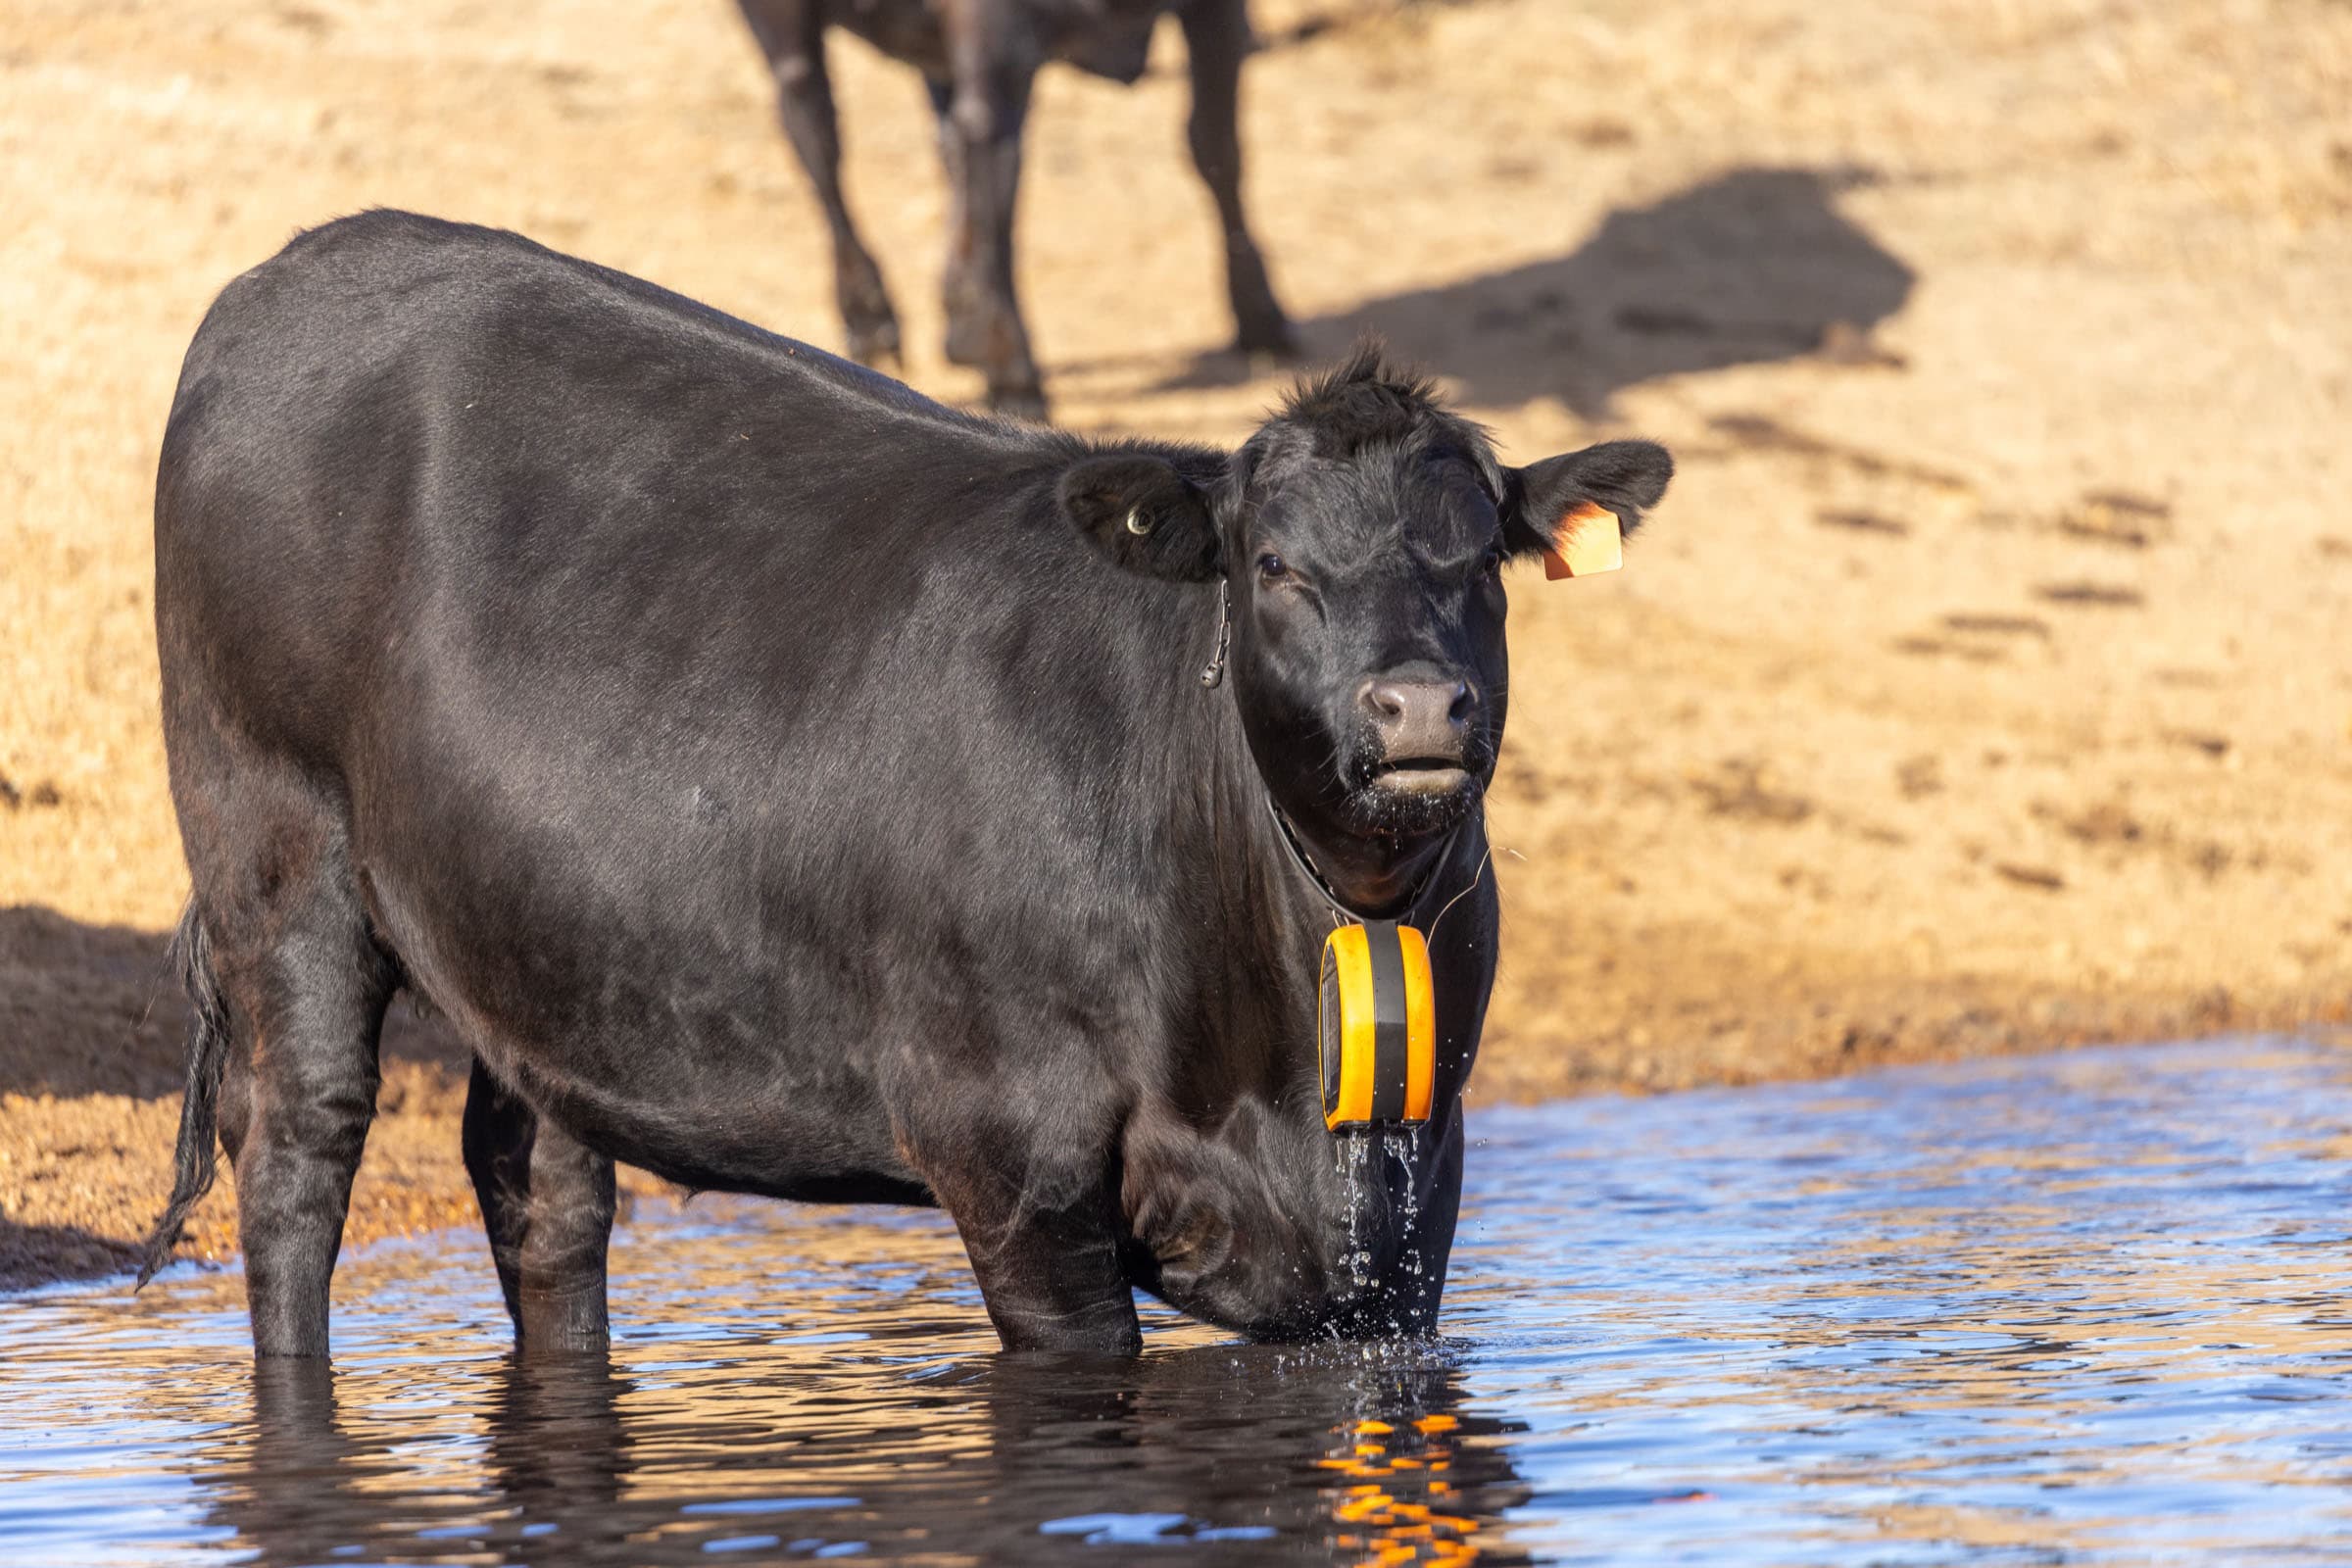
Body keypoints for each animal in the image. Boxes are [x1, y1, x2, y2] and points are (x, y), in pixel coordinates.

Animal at [138, 211, 1672, 1359]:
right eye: (1276, 565)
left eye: (1479, 560)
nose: (1415, 705)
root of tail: (300, 265)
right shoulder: (1012, 1159)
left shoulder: (1412, 1195)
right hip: (274, 839)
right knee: (297, 1153)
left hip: (540, 942)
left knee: (544, 1190)